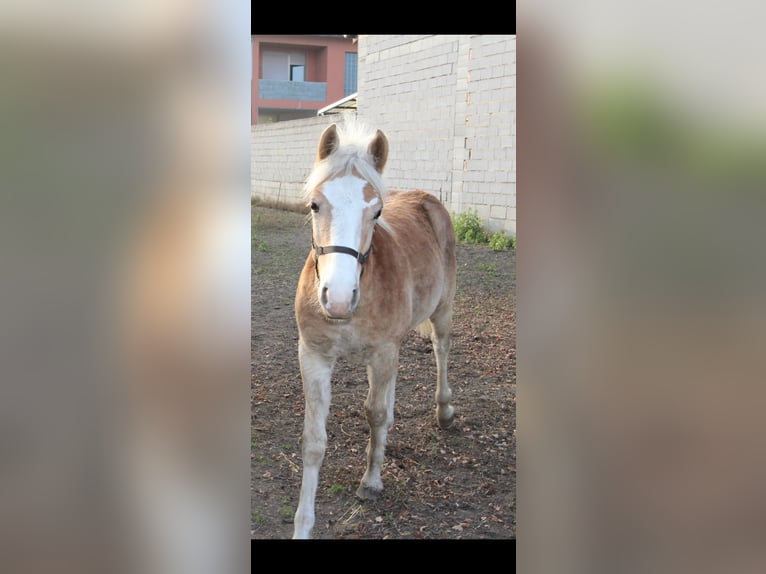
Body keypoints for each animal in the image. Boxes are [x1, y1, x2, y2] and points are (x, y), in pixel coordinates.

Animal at [292, 120, 456, 540]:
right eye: (315, 204)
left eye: (377, 211)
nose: (337, 298)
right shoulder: (313, 356)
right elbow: (314, 440)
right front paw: (303, 525)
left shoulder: (382, 351)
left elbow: (375, 413)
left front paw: (371, 480)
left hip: (441, 311)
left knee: (441, 349)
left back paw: (444, 410)